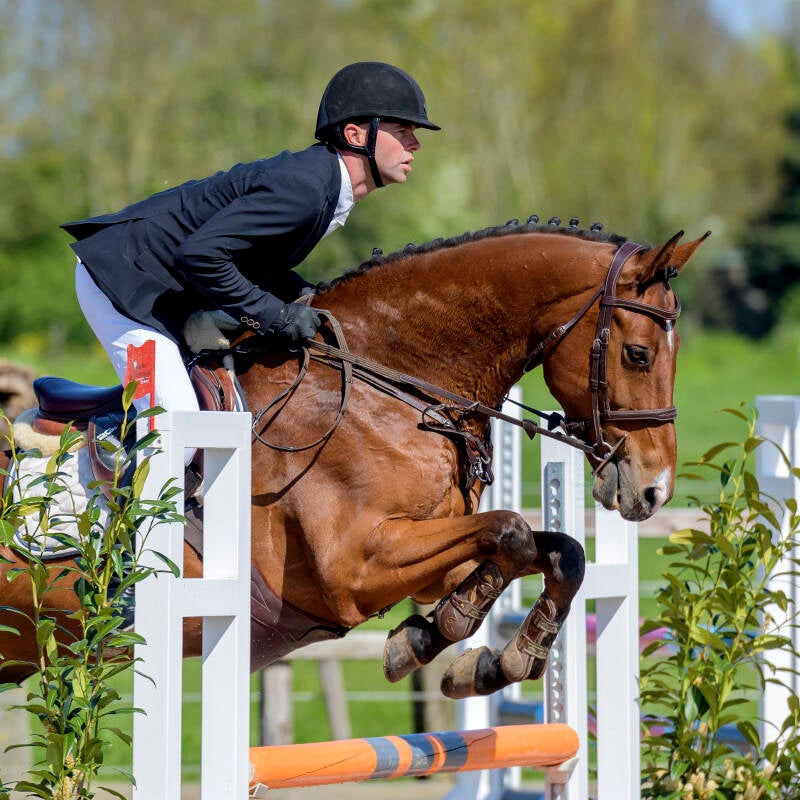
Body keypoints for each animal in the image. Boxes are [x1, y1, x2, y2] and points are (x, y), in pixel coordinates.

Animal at [0, 220, 708, 698]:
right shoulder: (353, 570)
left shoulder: (430, 555)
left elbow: (557, 549)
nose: (653, 491)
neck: (389, 387)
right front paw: (428, 639)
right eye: (639, 354)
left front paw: (494, 661)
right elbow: (510, 532)